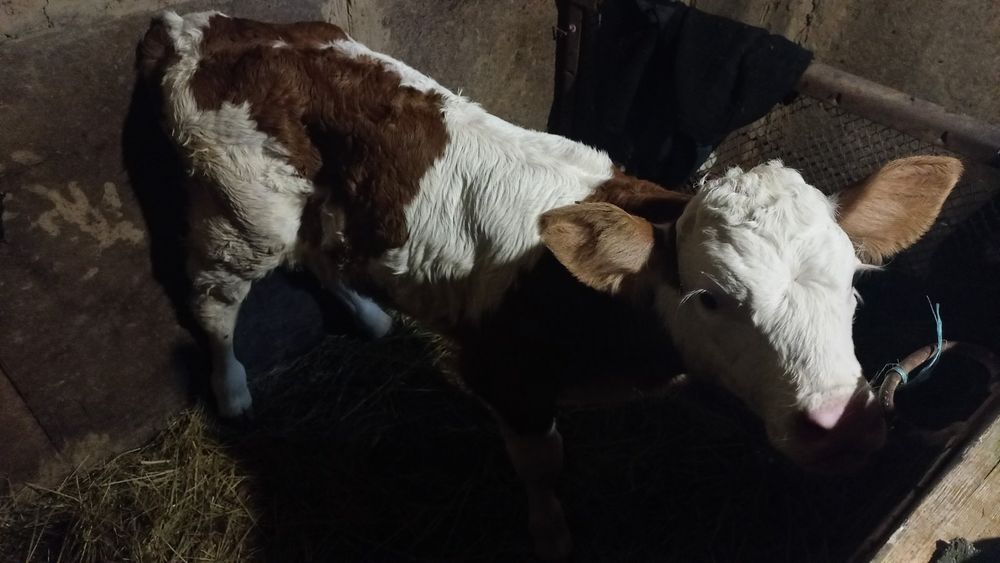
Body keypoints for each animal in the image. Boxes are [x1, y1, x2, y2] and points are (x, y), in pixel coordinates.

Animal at [137, 11, 962, 559]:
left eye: (853, 287)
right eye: (714, 299)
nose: (842, 424)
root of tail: (201, 23)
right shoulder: (503, 374)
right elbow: (542, 464)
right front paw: (552, 533)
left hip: (313, 198)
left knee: (318, 251)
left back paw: (369, 317)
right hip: (241, 204)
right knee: (214, 296)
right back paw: (233, 389)